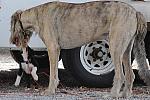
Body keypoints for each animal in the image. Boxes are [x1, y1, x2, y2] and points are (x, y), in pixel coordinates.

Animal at [9, 0, 149, 97]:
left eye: (11, 25)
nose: (12, 41)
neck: (38, 15)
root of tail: (135, 12)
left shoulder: (53, 48)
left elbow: (53, 73)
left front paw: (49, 91)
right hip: (125, 50)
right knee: (130, 75)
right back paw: (125, 95)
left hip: (115, 48)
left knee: (120, 75)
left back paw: (113, 95)